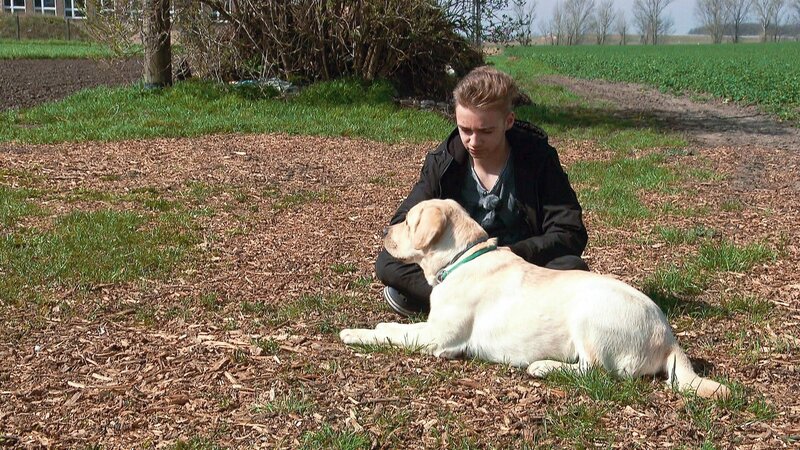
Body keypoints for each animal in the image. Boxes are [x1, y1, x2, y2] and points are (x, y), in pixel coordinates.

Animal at [340, 199, 728, 400]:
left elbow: (392, 333)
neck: (461, 259)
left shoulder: (440, 339)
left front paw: (355, 333)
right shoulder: (433, 328)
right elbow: (395, 327)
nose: (384, 229)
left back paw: (542, 367)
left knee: (594, 372)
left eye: (408, 222)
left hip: (589, 316)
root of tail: (668, 335)